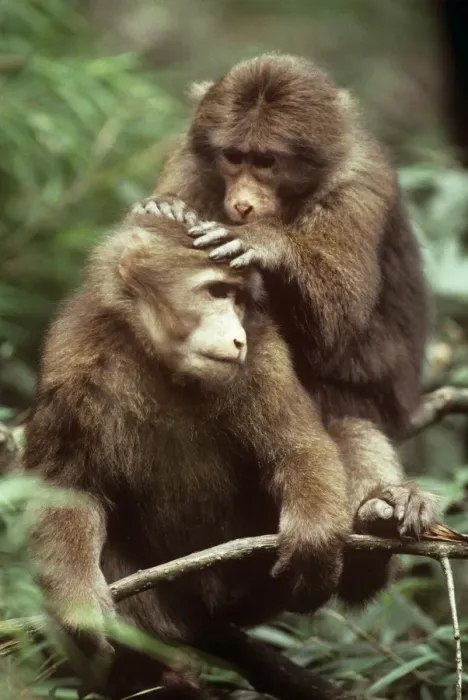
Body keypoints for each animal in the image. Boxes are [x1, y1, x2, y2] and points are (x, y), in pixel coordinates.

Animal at [139, 52, 433, 606]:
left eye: (268, 162)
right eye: (234, 157)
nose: (243, 203)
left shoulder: (360, 184)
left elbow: (337, 320)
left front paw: (263, 244)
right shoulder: (191, 163)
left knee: (342, 414)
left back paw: (380, 521)